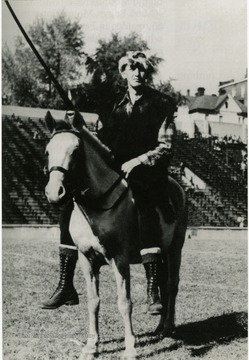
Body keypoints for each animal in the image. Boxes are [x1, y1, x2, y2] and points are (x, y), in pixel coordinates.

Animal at [44, 111, 187, 358]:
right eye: (47, 151)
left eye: (76, 151)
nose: (54, 193)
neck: (97, 206)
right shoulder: (87, 259)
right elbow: (93, 301)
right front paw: (91, 346)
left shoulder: (119, 260)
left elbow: (124, 302)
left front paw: (130, 348)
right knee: (160, 281)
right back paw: (159, 325)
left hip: (174, 249)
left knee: (171, 285)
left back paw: (168, 326)